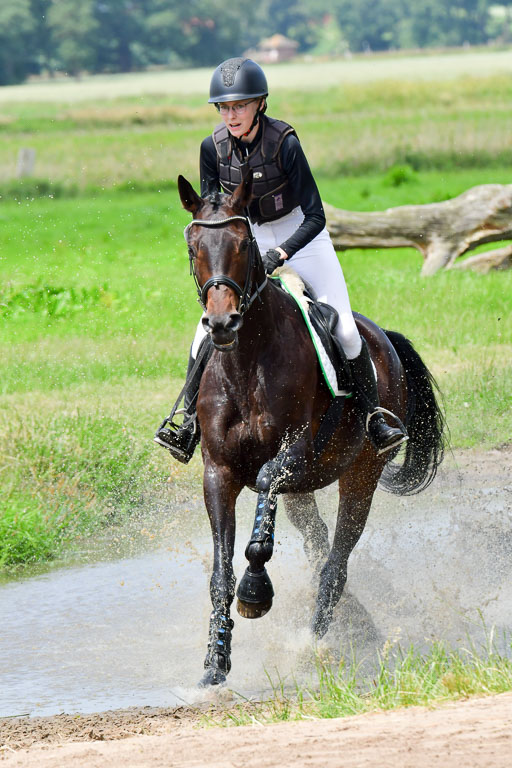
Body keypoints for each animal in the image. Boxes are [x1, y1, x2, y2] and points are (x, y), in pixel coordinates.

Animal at [177, 170, 445, 687]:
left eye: (244, 244)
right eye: (194, 246)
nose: (221, 323)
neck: (247, 361)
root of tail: (382, 337)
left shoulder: (295, 452)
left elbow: (264, 493)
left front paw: (255, 594)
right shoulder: (218, 471)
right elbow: (220, 572)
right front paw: (215, 664)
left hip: (360, 476)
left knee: (335, 562)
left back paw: (317, 640)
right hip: (301, 493)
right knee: (318, 545)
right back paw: (353, 623)